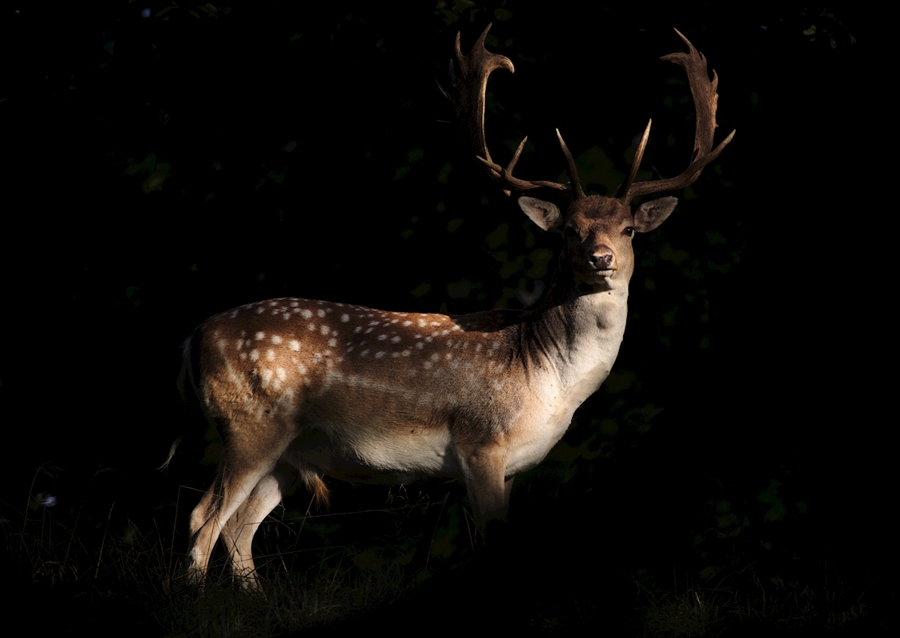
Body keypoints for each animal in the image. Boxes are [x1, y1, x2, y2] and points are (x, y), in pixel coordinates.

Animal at [175, 25, 733, 587]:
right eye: (570, 231)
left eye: (629, 229)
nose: (601, 259)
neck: (547, 379)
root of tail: (195, 335)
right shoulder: (480, 443)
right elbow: (487, 543)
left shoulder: (512, 467)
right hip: (248, 424)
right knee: (203, 517)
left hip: (291, 454)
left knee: (239, 527)